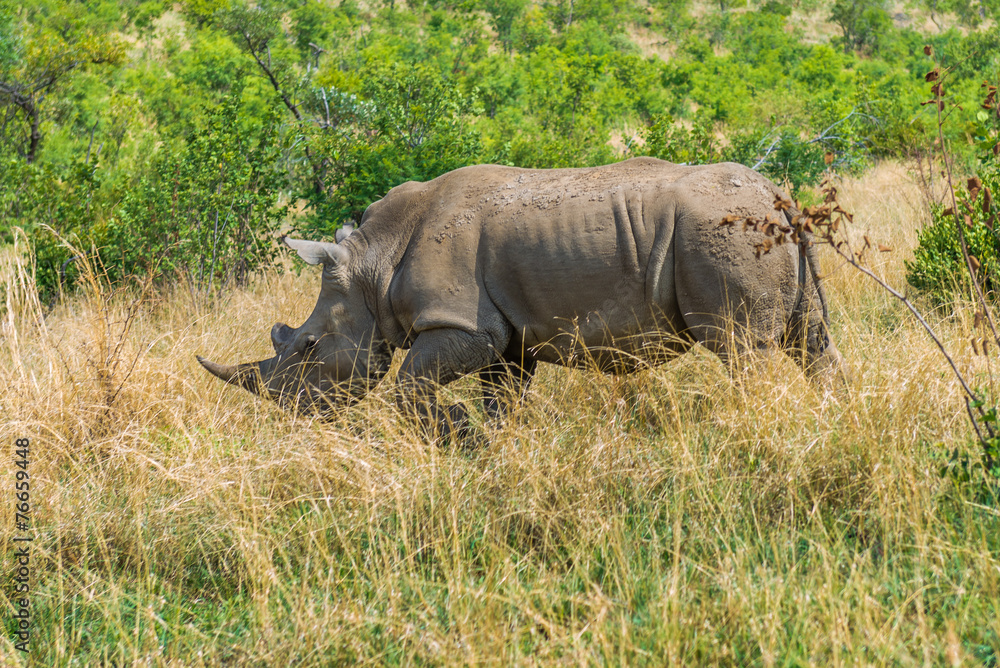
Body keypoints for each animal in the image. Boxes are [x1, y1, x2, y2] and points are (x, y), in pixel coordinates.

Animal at [198, 158, 844, 437]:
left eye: (307, 346)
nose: (296, 415)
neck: (371, 268)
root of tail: (778, 194)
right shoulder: (509, 336)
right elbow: (501, 399)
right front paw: (489, 444)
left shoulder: (462, 324)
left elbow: (408, 387)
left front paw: (457, 432)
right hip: (768, 232)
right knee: (811, 339)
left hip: (723, 234)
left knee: (742, 348)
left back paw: (759, 428)